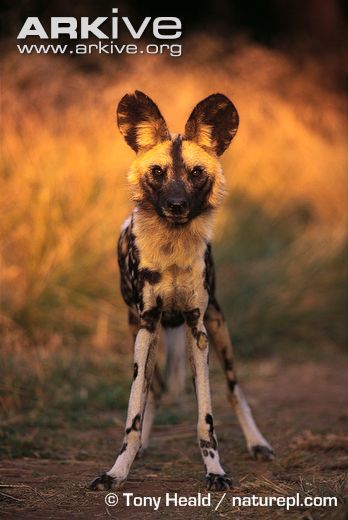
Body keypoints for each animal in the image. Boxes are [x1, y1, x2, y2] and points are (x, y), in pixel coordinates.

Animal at [90, 90, 274, 492]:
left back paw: (257, 442)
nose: (176, 205)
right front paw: (118, 470)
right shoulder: (147, 326)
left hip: (219, 331)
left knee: (234, 390)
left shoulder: (197, 328)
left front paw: (215, 470)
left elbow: (206, 418)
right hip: (140, 333)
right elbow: (134, 411)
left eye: (196, 173)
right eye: (158, 172)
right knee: (153, 389)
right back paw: (142, 446)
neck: (172, 246)